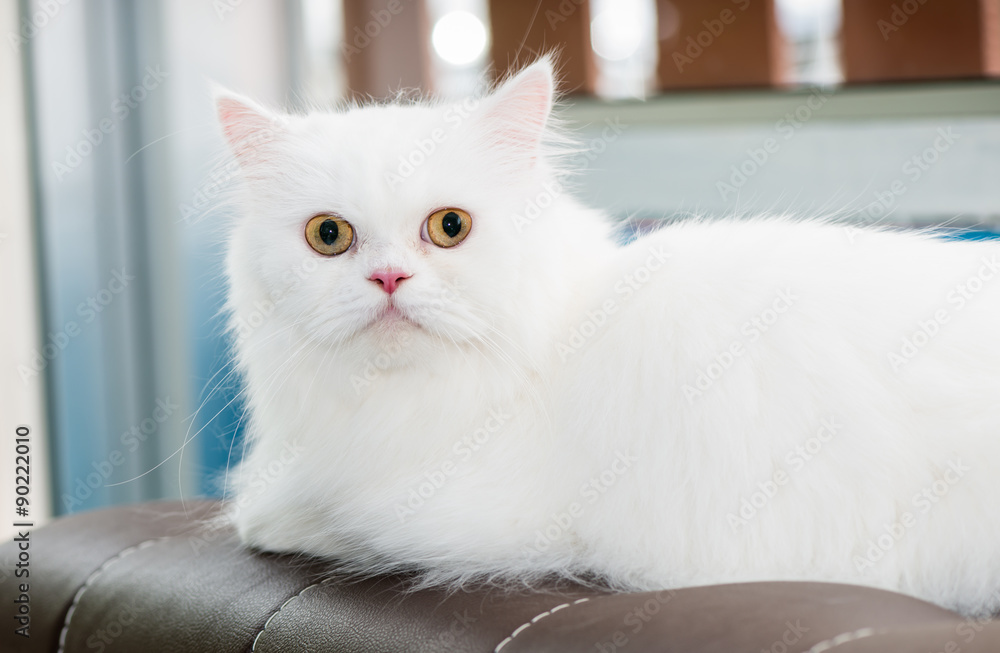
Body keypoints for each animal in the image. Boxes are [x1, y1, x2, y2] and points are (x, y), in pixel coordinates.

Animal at [217, 57, 1000, 616]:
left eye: (449, 227)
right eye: (329, 236)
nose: (387, 279)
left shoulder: (454, 515)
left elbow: (312, 513)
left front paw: (259, 517)